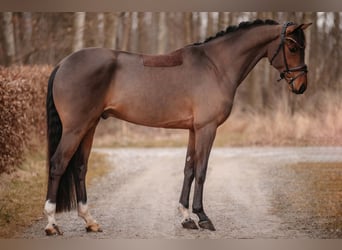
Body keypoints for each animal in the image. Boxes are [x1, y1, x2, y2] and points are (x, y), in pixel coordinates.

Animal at [44, 19, 312, 234]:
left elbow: (189, 169)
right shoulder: (207, 128)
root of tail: (63, 64)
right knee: (58, 164)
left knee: (80, 167)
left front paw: (186, 218)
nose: (301, 86)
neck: (216, 66)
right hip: (75, 128)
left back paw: (90, 221)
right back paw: (51, 224)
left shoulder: (194, 130)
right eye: (292, 47)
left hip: (89, 126)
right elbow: (202, 171)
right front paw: (202, 217)